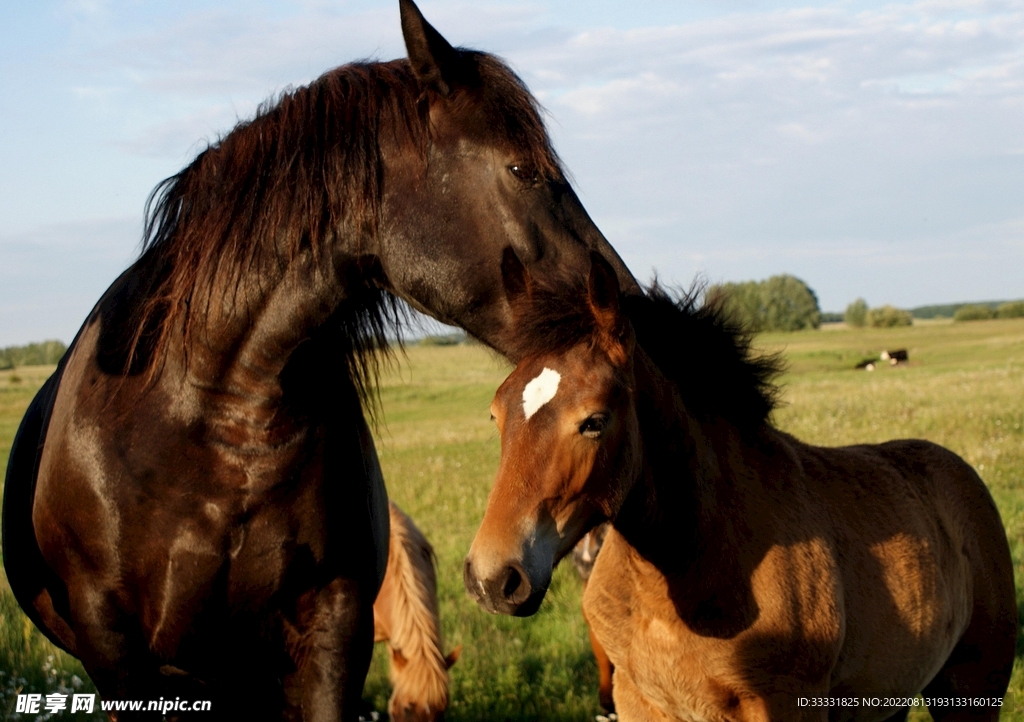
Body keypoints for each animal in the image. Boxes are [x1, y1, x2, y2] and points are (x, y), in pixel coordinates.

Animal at [464, 250, 1016, 721]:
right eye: (495, 414)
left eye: (594, 421)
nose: (493, 578)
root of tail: (961, 472)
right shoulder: (637, 697)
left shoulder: (784, 701)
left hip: (971, 687)